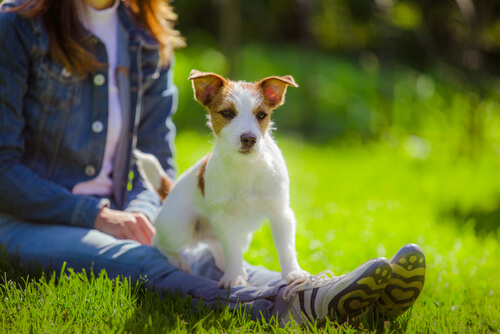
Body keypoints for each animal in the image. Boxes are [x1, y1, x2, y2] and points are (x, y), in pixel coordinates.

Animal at [135, 69, 310, 288]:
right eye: (227, 113)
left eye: (261, 115)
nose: (249, 139)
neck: (245, 166)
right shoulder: (223, 217)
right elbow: (231, 250)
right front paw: (233, 277)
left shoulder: (281, 213)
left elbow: (286, 247)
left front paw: (293, 273)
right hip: (179, 228)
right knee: (157, 242)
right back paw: (179, 260)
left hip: (238, 235)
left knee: (216, 245)